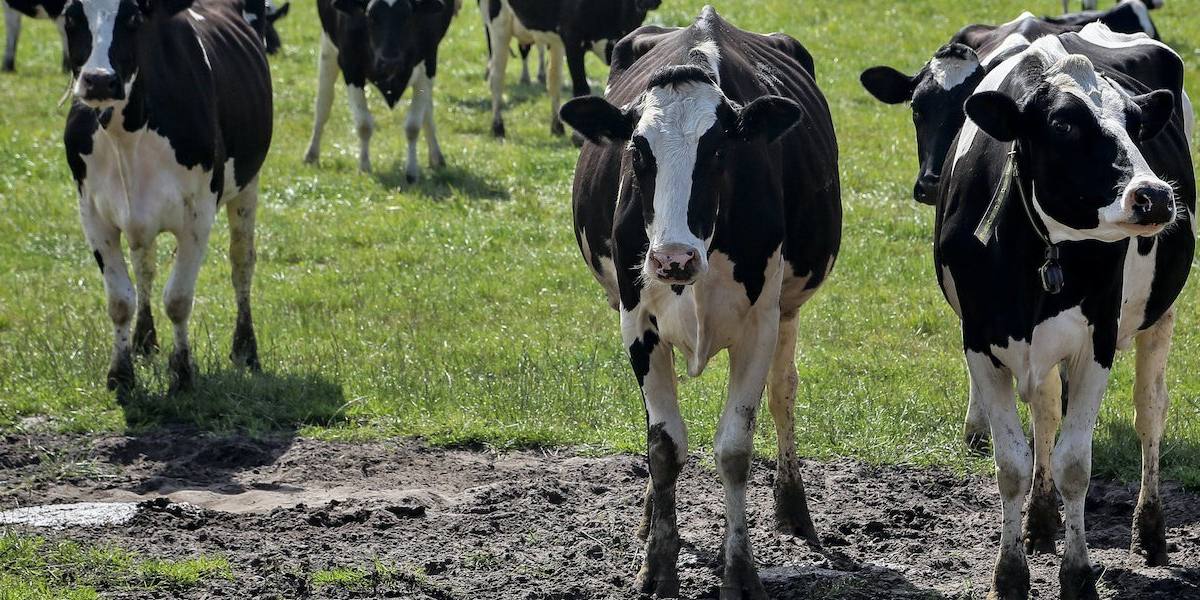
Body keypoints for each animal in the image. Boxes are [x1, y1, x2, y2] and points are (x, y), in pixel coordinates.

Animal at [61, 0, 273, 397]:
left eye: (132, 17)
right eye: (70, 16)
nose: (99, 79)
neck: (126, 133)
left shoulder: (198, 215)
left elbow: (178, 300)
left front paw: (183, 374)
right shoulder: (93, 214)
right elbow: (120, 300)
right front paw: (121, 374)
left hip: (247, 184)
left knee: (241, 262)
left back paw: (245, 349)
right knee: (145, 266)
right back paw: (144, 341)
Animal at [302, 0, 456, 181]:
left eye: (406, 16)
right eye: (371, 17)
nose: (390, 62)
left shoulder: (428, 61)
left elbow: (413, 126)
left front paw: (412, 171)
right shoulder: (350, 65)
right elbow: (363, 124)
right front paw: (364, 167)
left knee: (428, 112)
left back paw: (436, 158)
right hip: (328, 47)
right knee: (323, 105)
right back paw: (311, 155)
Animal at [483, 0, 661, 138]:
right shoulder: (572, 39)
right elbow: (581, 88)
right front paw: (578, 138)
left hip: (553, 40)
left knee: (553, 80)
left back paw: (556, 127)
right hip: (499, 24)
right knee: (497, 77)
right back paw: (498, 127)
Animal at [560, 7, 839, 598]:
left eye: (717, 151)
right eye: (637, 152)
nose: (673, 259)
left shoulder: (759, 326)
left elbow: (734, 448)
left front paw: (741, 572)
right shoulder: (637, 323)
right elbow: (664, 445)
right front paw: (657, 565)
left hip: (788, 310)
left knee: (784, 393)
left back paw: (793, 509)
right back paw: (647, 518)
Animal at [937, 24, 1193, 598]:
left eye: (1135, 124)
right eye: (1062, 124)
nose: (1155, 196)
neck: (1042, 253)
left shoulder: (1096, 343)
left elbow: (1075, 463)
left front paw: (1077, 575)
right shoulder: (979, 342)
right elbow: (1013, 462)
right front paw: (1010, 572)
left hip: (1159, 317)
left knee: (1150, 413)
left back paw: (1150, 532)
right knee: (1048, 413)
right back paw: (1040, 523)